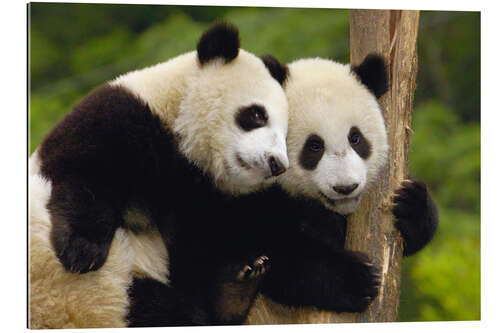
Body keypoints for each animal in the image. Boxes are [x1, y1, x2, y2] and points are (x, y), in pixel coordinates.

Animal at [28, 22, 292, 328]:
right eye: (257, 115)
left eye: (285, 134)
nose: (277, 164)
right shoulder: (120, 117)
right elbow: (83, 174)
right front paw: (83, 251)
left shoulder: (200, 196)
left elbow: (199, 252)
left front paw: (230, 292)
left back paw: (237, 290)